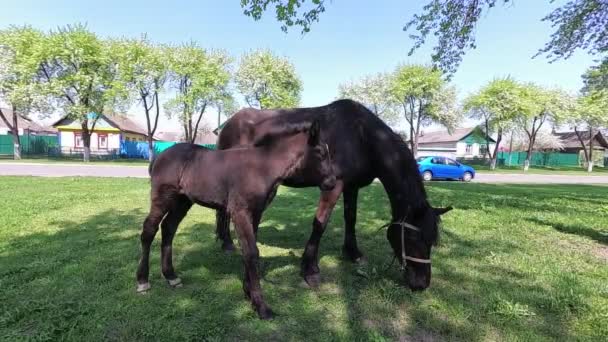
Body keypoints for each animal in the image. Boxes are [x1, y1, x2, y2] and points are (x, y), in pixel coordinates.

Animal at [217, 99, 452, 292]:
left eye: (432, 239)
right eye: (412, 237)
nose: (421, 284)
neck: (362, 136)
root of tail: (227, 124)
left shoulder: (352, 186)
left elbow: (351, 217)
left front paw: (352, 253)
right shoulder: (333, 185)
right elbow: (320, 223)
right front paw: (310, 270)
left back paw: (224, 239)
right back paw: (227, 243)